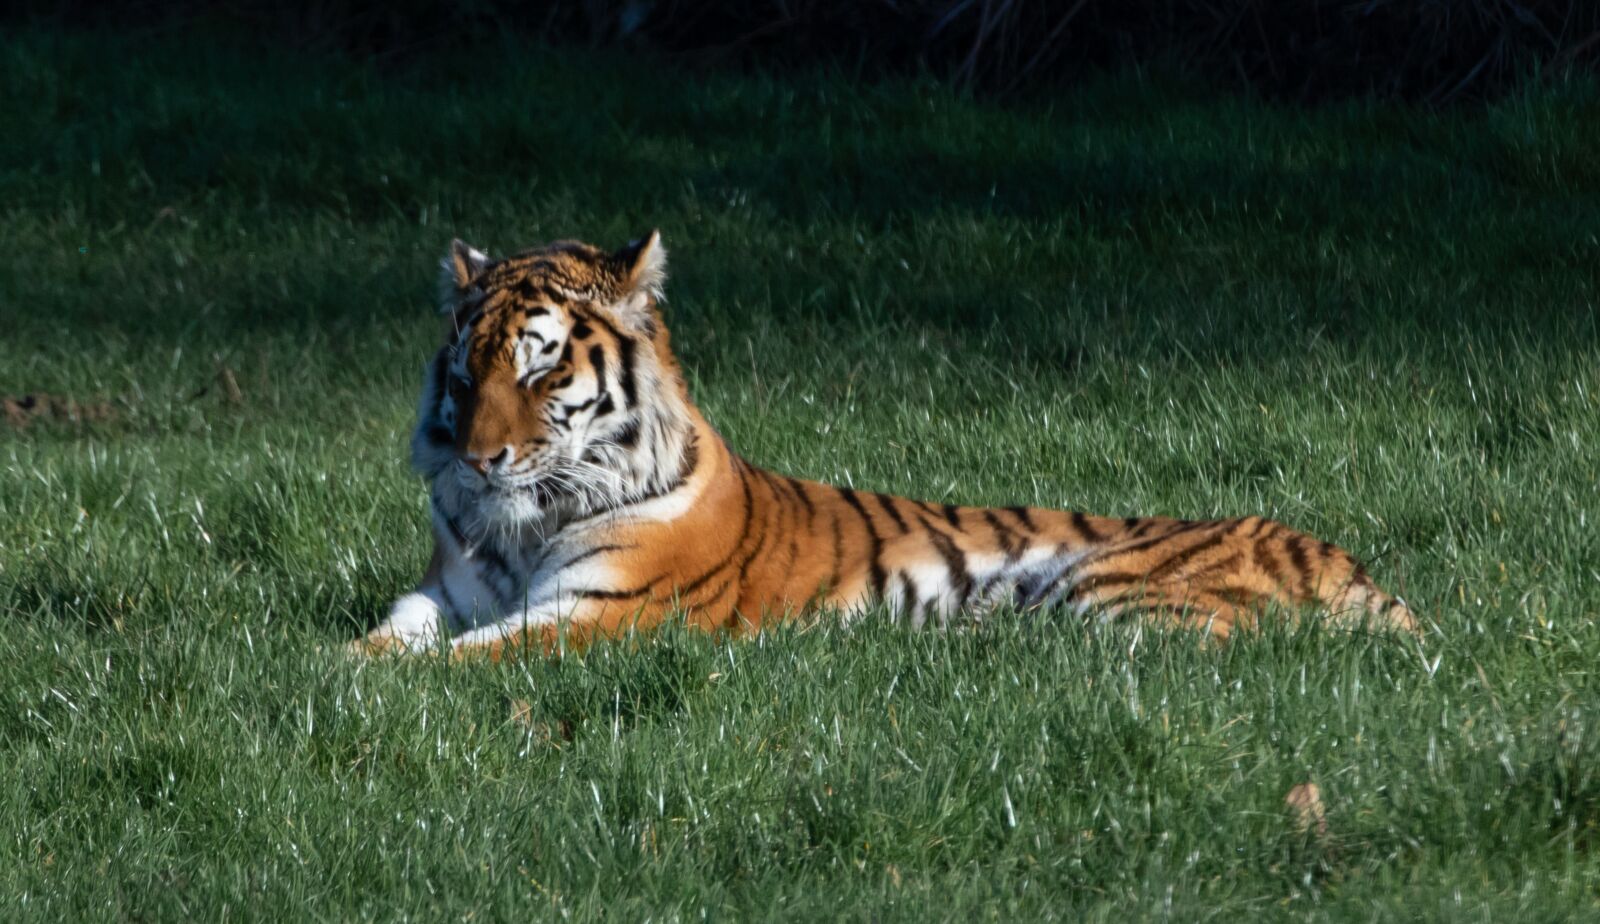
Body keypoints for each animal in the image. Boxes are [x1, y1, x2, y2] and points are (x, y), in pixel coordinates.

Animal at [352, 231, 1419, 659]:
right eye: (468, 373)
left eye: (539, 372)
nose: (478, 461)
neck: (523, 525)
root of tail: (1352, 564)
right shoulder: (446, 590)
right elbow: (390, 634)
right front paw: (340, 662)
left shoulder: (599, 615)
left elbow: (457, 664)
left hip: (1117, 592)